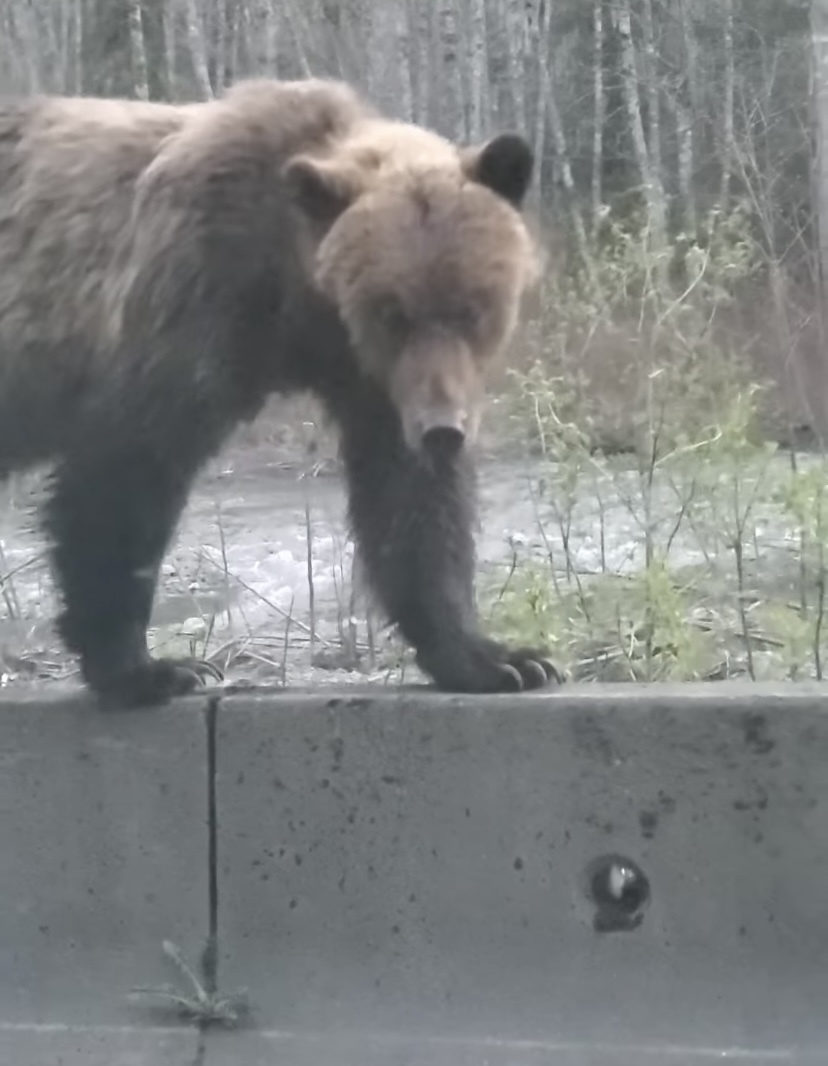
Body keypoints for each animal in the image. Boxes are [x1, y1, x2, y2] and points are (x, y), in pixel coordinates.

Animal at [0, 77, 562, 707]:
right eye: (393, 312)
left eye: (473, 307)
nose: (443, 428)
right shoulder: (190, 298)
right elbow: (127, 470)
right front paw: (153, 669)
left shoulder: (375, 384)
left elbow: (411, 501)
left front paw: (499, 659)